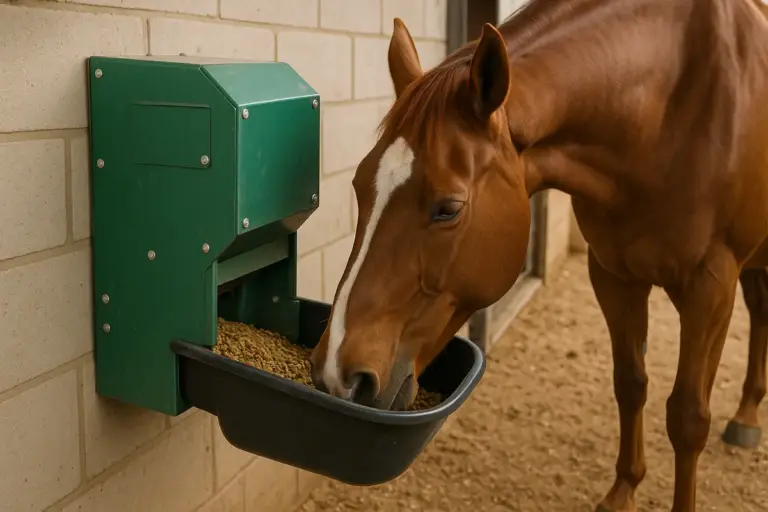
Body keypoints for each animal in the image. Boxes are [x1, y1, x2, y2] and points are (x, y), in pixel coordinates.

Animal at [308, 0, 768, 510]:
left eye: (448, 208)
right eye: (357, 186)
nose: (336, 374)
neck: (669, 108)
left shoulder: (710, 288)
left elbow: (688, 417)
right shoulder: (613, 275)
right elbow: (630, 384)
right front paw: (622, 492)